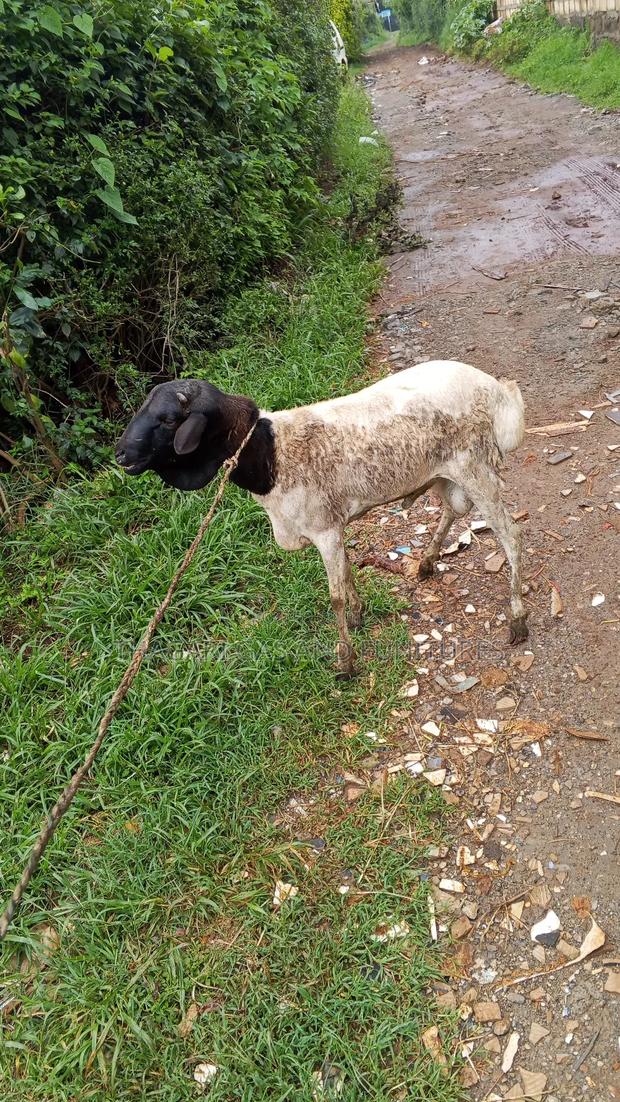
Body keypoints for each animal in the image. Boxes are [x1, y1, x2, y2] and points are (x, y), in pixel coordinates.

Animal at [115, 360, 527, 677]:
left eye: (169, 419)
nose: (120, 455)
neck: (272, 455)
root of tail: (496, 389)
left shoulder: (324, 528)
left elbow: (335, 595)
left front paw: (346, 661)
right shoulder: (333, 524)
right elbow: (346, 572)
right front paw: (360, 617)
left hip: (475, 467)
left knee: (511, 536)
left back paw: (518, 618)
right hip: (445, 473)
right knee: (454, 509)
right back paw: (426, 561)